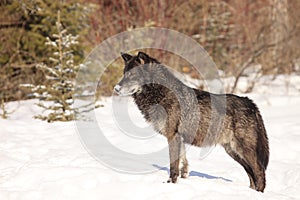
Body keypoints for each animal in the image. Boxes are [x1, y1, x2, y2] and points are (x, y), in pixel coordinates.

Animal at [114, 51, 270, 192]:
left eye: (132, 75)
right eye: (124, 74)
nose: (116, 88)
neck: (160, 93)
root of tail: (250, 103)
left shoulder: (172, 136)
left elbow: (173, 166)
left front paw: (170, 183)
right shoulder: (180, 138)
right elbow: (183, 163)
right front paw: (183, 179)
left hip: (242, 150)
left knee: (259, 171)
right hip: (233, 151)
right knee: (251, 174)